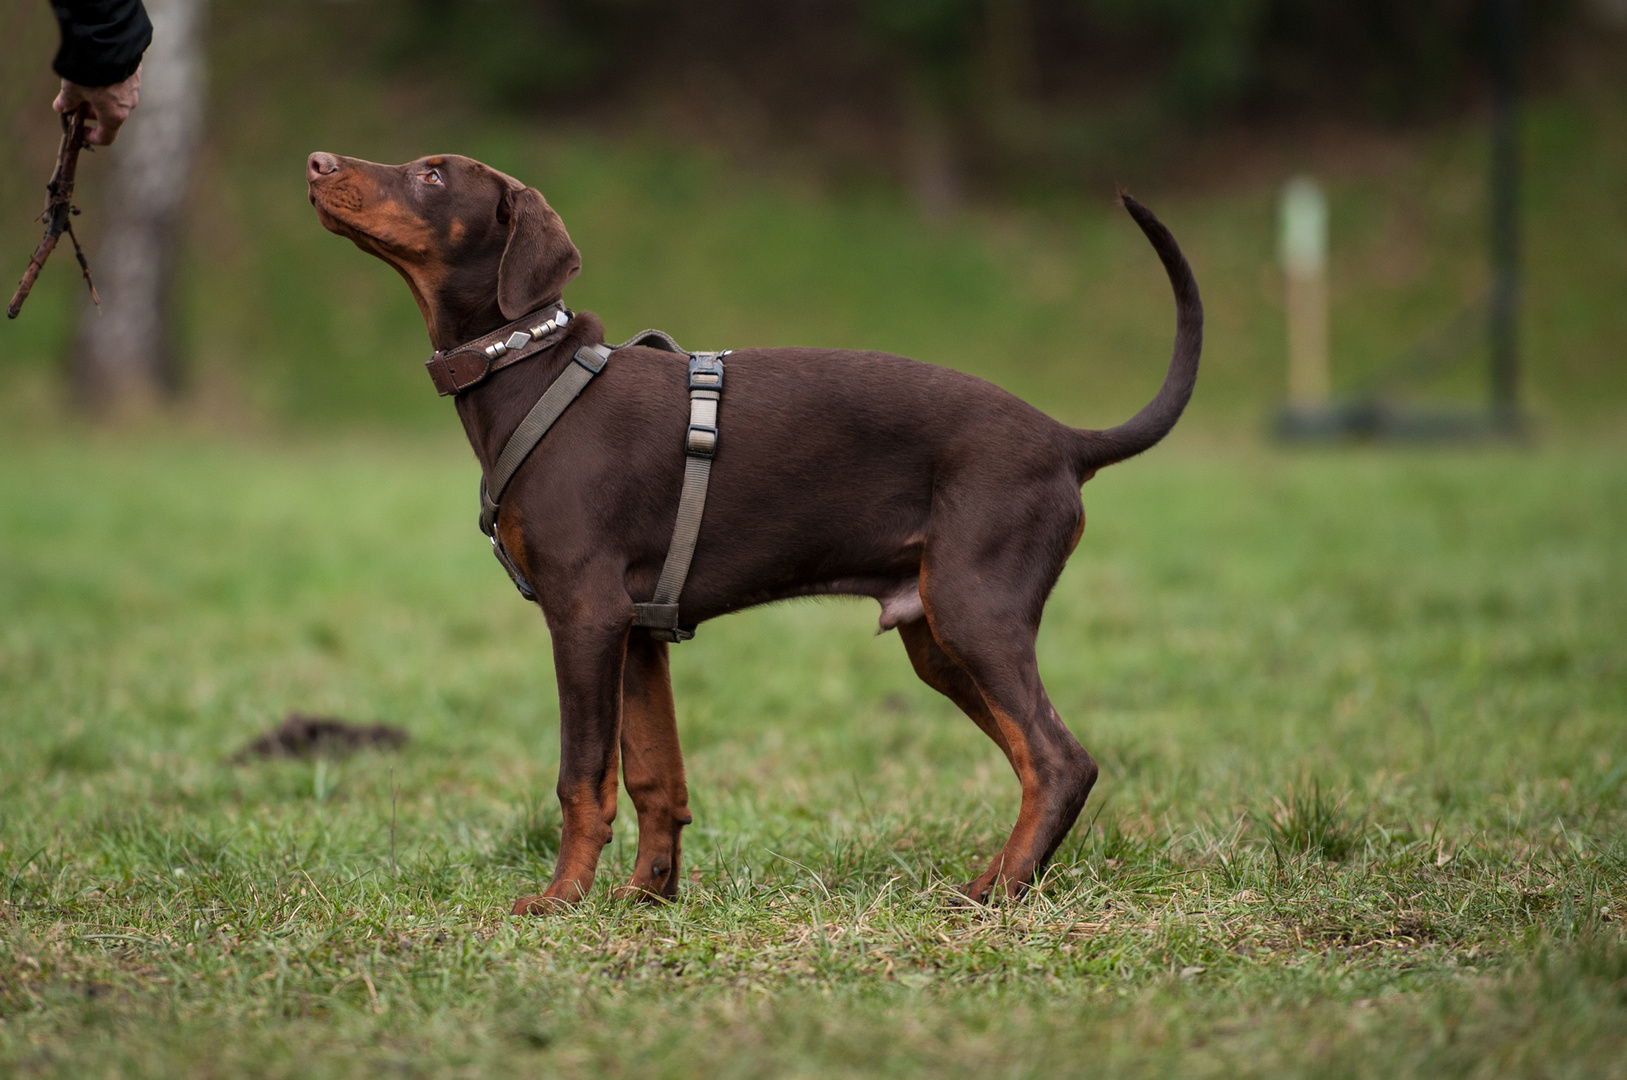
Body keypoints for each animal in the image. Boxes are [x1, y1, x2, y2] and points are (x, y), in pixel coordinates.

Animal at [307, 152, 1197, 910]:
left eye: (431, 174)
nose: (316, 164)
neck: (527, 367)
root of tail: (1065, 440)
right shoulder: (638, 632)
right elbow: (655, 776)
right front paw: (647, 896)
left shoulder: (583, 614)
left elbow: (581, 775)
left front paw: (560, 899)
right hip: (938, 640)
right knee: (1032, 761)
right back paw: (996, 878)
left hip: (976, 611)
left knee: (1058, 759)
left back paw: (999, 892)